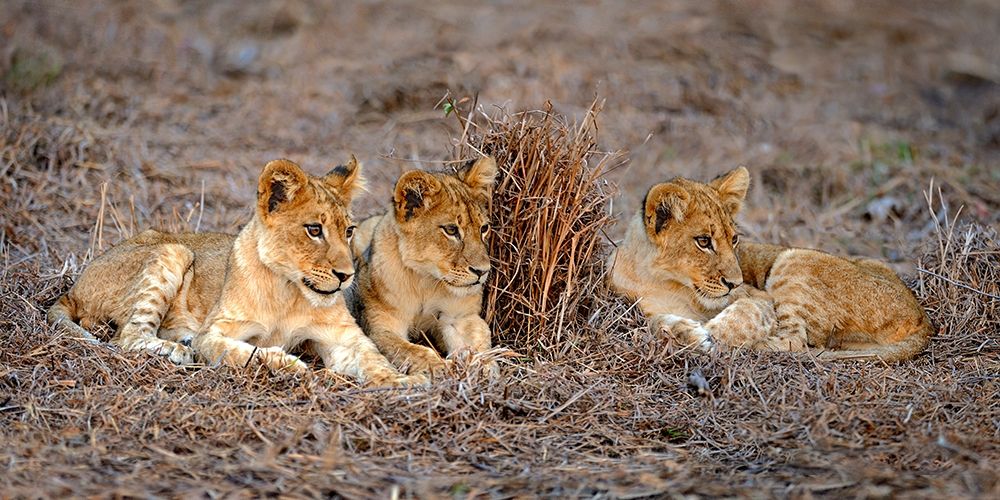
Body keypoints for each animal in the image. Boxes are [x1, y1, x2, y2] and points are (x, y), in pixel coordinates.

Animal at [48, 157, 424, 387]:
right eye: (314, 230)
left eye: (348, 231)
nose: (347, 275)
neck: (289, 290)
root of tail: (74, 286)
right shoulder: (214, 333)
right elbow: (243, 351)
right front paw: (288, 363)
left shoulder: (343, 338)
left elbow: (375, 359)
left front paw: (406, 382)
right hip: (174, 249)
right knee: (128, 336)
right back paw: (177, 349)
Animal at [346, 156, 498, 377]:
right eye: (451, 230)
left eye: (484, 228)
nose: (482, 271)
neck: (425, 280)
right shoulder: (382, 325)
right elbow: (413, 351)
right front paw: (439, 368)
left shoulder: (460, 317)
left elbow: (477, 341)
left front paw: (486, 366)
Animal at [608, 166, 933, 362]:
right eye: (703, 241)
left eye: (734, 239)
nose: (734, 283)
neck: (661, 280)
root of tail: (923, 318)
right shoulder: (634, 302)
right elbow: (654, 322)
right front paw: (684, 331)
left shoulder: (760, 297)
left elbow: (746, 314)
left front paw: (709, 336)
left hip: (795, 259)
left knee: (796, 342)